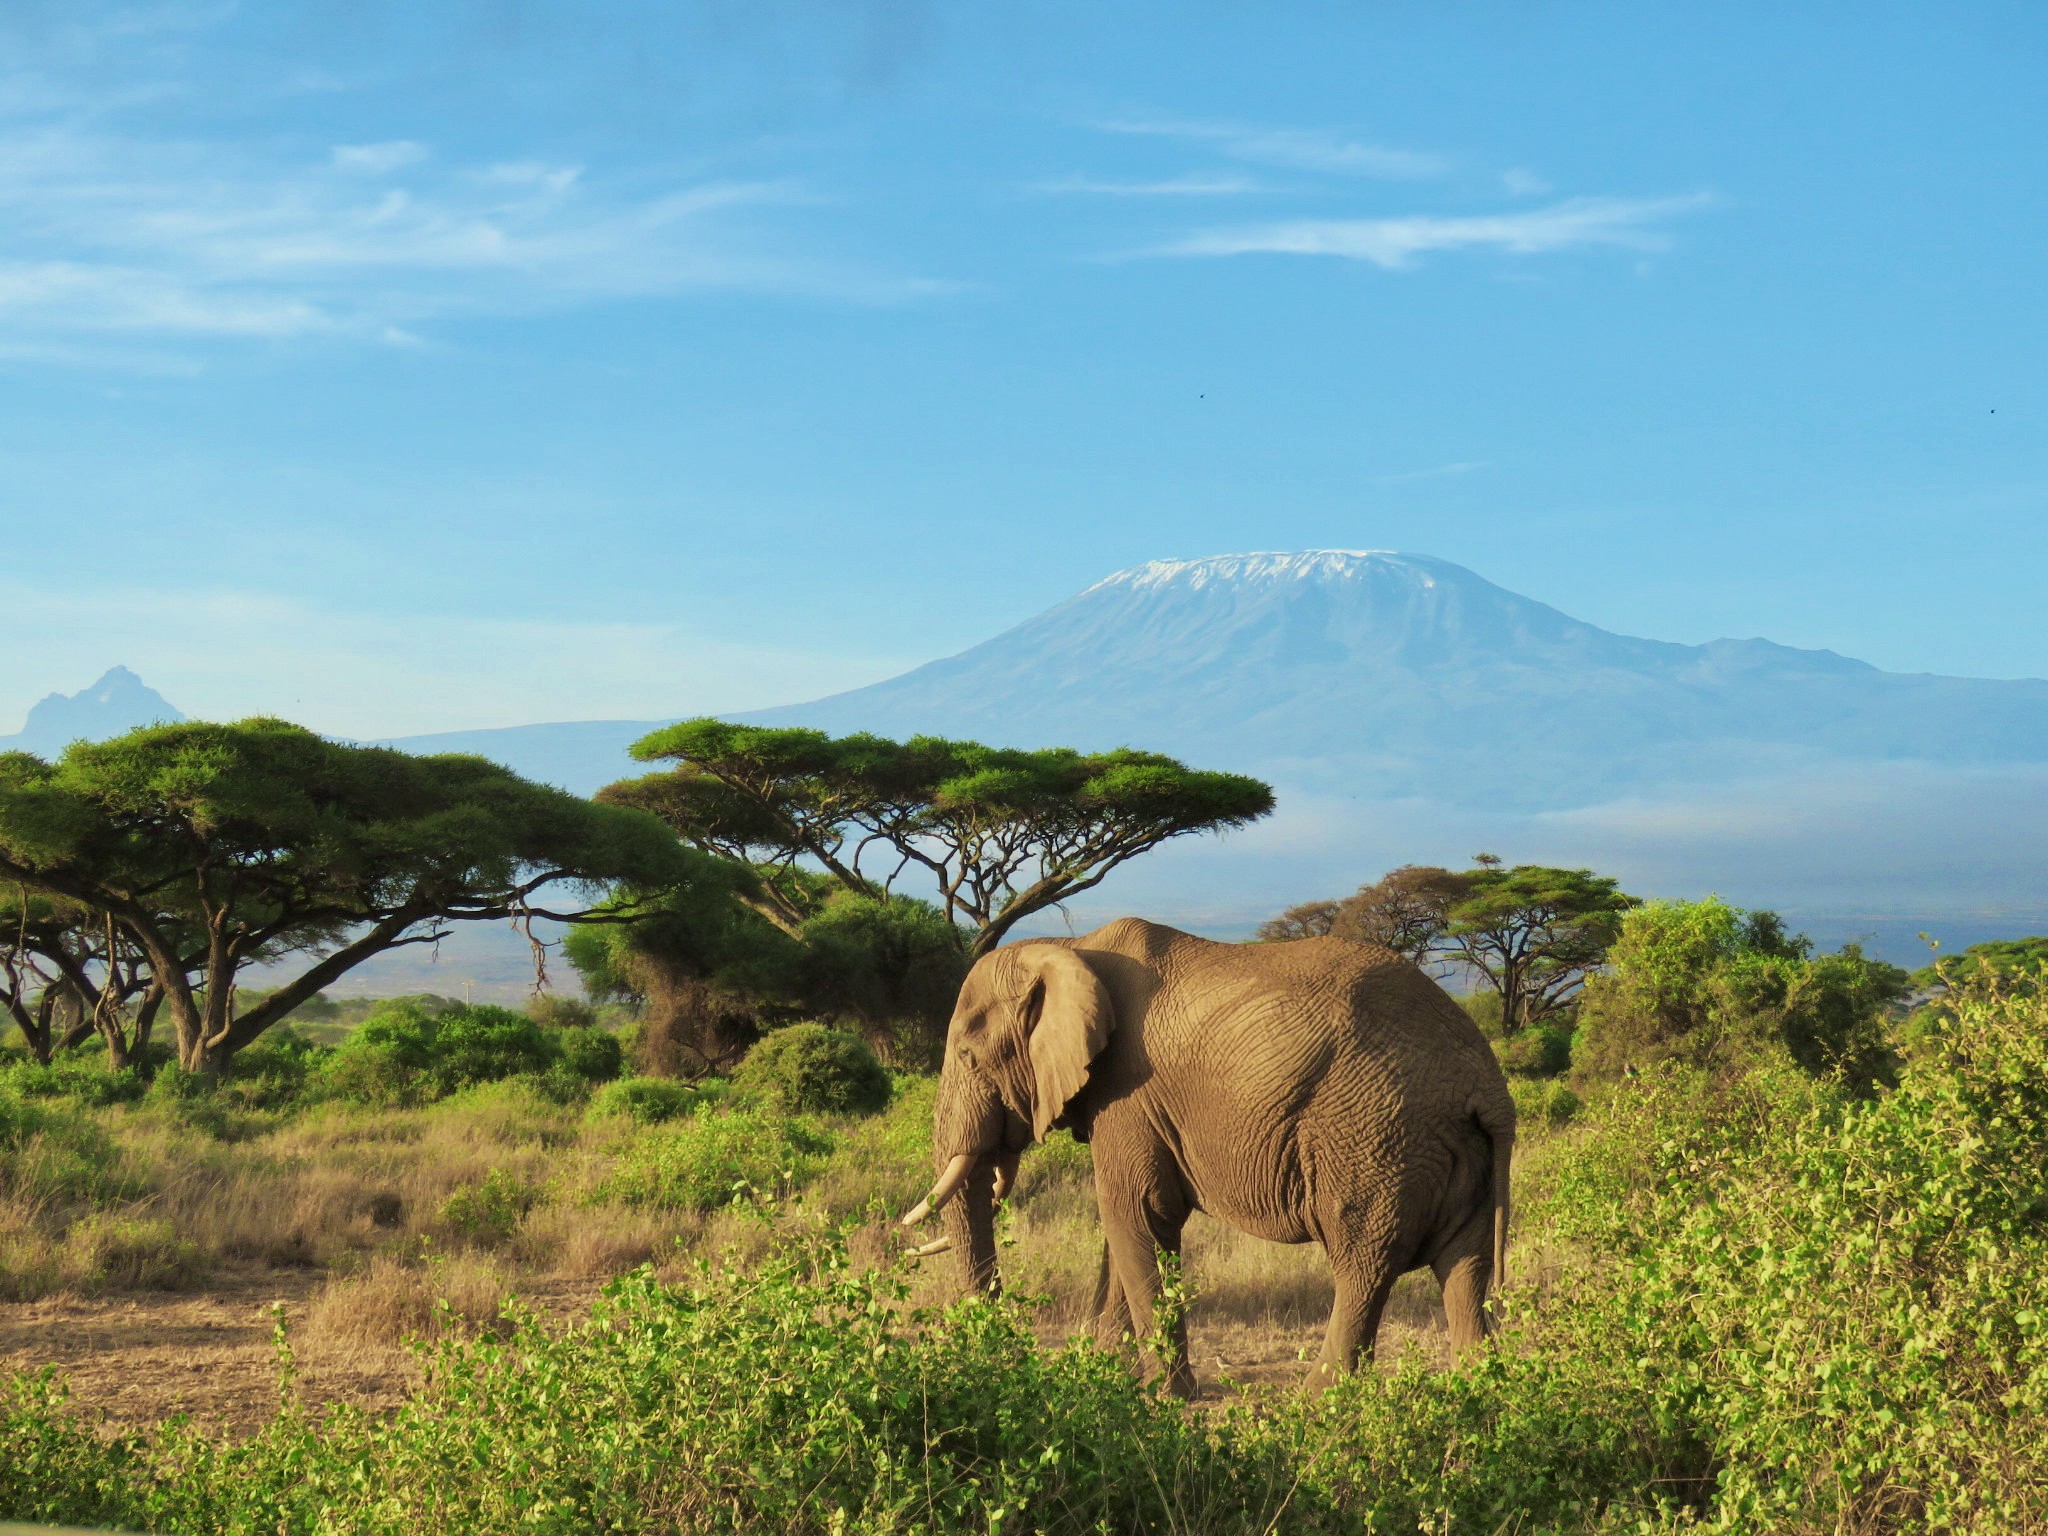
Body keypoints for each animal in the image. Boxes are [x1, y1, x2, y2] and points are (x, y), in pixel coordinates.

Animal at [905, 921, 1515, 1400]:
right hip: (1454, 1149)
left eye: (968, 1056)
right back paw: (1478, 1388)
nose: (1012, 1360)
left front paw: (1164, 1397)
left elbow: (1136, 1214)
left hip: (1375, 1136)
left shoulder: (1129, 1095)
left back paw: (1316, 1399)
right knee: (1464, 1265)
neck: (1066, 948)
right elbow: (1125, 1230)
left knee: (1363, 1260)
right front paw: (1103, 1378)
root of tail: (1486, 1083)